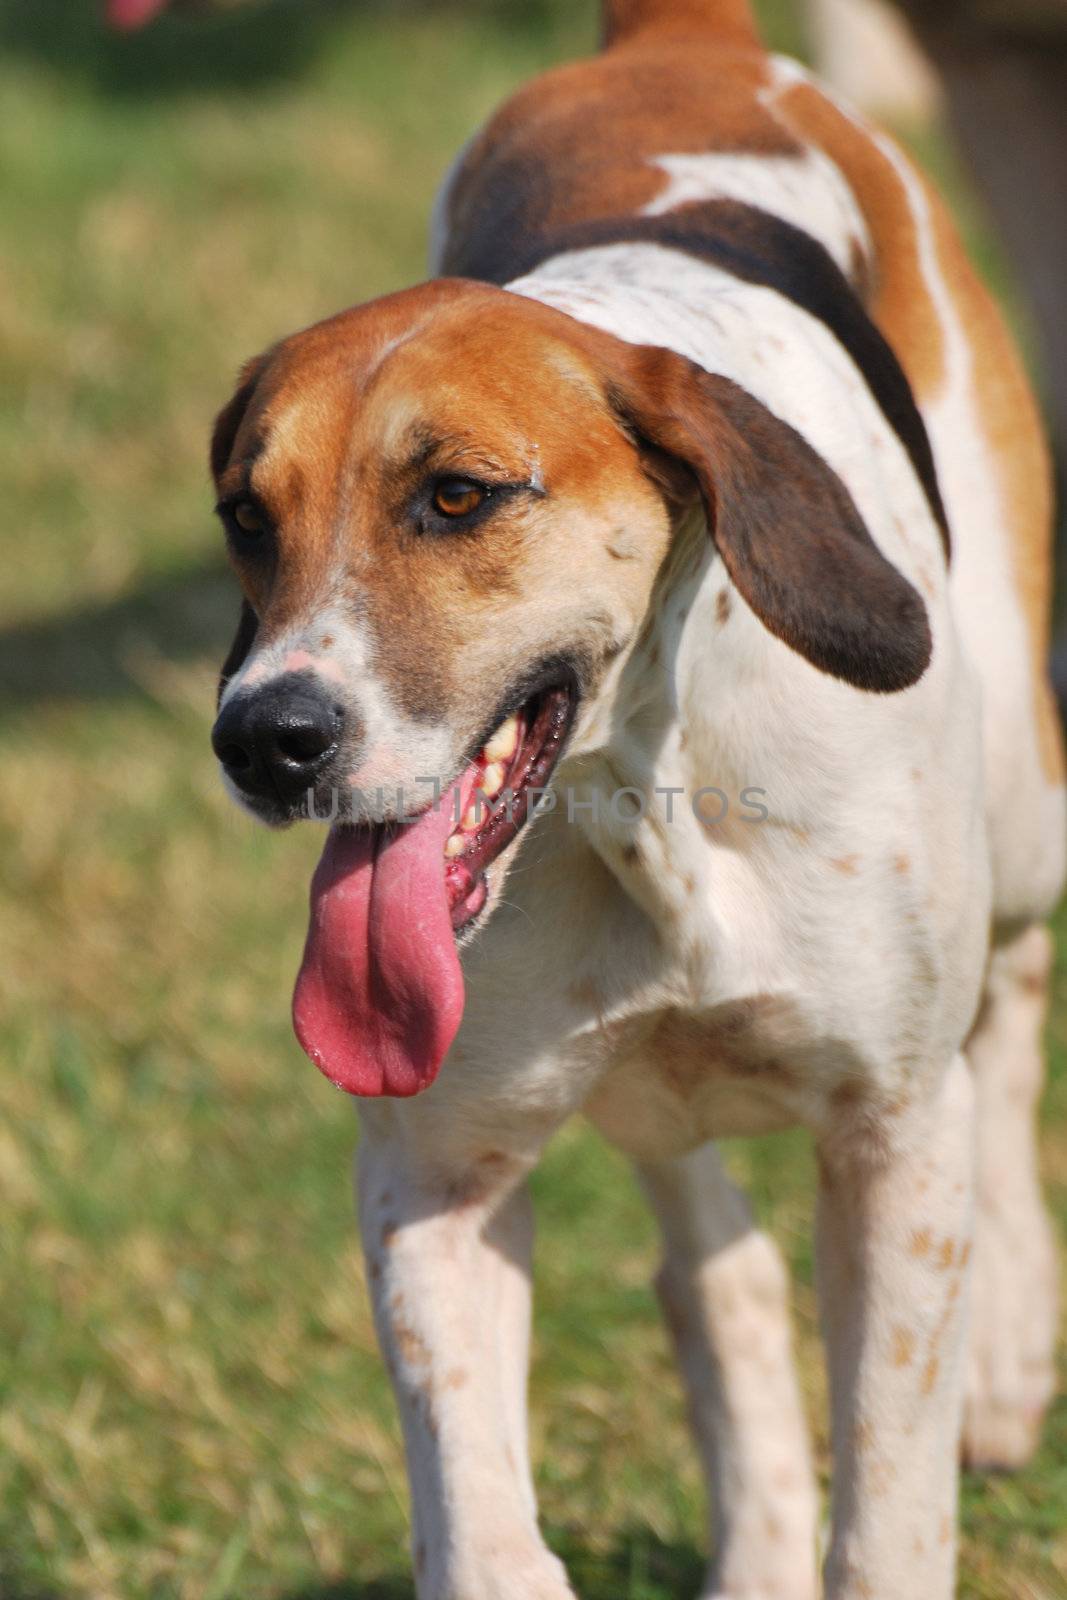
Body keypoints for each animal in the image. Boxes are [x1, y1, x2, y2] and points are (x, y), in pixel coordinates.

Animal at [207, 6, 1067, 1593]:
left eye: (458, 497)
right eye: (245, 513)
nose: (265, 738)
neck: (636, 800)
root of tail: (676, 41)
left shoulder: (889, 1143)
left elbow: (890, 1516)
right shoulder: (432, 1174)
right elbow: (480, 1521)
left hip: (1018, 798)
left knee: (1008, 1010)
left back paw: (1003, 1351)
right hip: (639, 1095)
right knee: (705, 1260)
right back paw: (760, 1535)